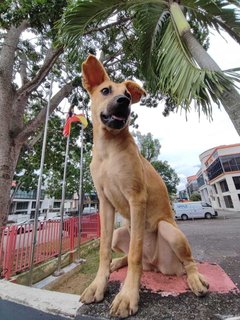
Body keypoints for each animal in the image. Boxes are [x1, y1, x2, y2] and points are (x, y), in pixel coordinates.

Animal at [80, 55, 208, 318]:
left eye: (128, 94)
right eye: (106, 91)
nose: (124, 101)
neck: (108, 149)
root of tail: (156, 265)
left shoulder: (136, 198)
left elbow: (135, 253)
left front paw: (128, 296)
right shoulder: (104, 203)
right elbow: (104, 250)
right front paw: (99, 284)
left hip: (170, 232)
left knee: (187, 262)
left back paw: (195, 279)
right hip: (120, 232)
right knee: (125, 254)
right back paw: (117, 263)